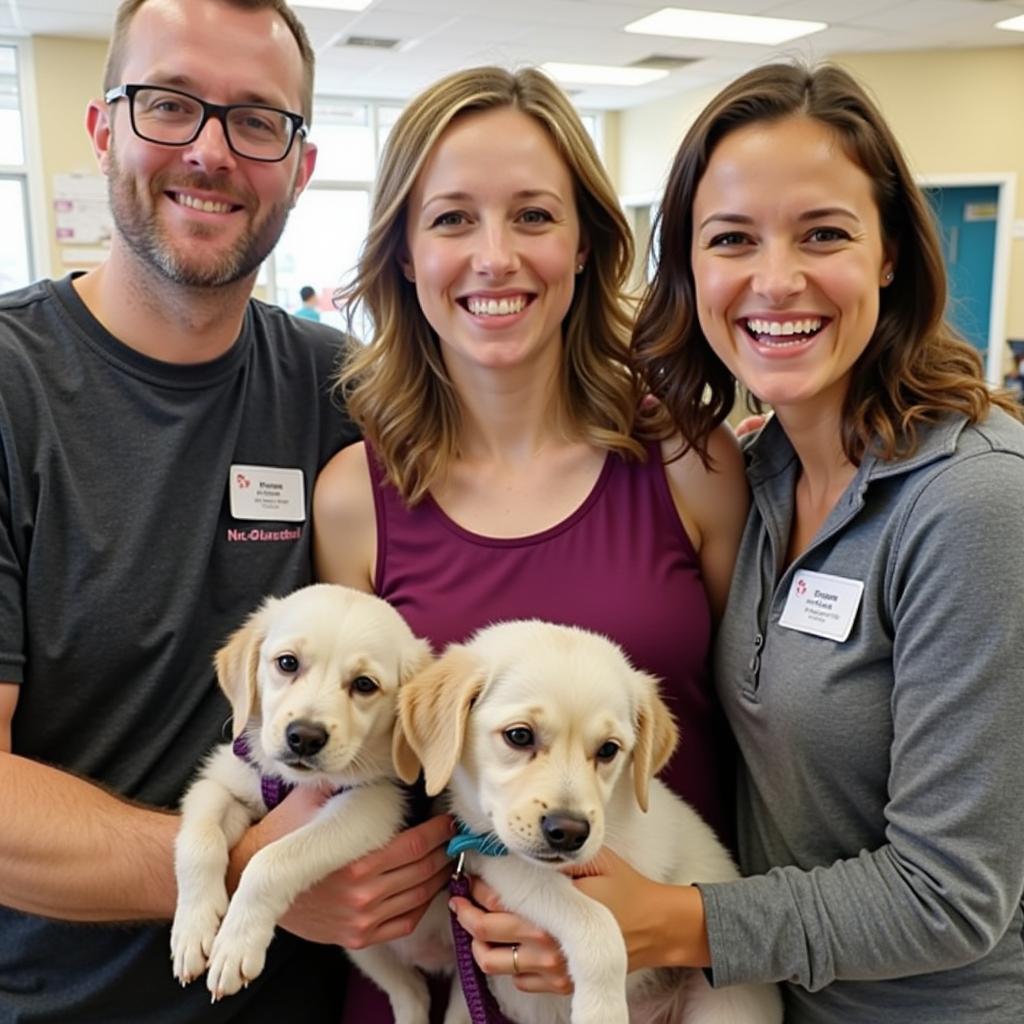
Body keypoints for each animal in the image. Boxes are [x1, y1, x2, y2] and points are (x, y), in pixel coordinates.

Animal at [168, 581, 440, 1019]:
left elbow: (272, 860)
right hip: (363, 949)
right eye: (287, 663)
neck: (294, 782)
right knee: (412, 991)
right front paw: (193, 928)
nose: (305, 737)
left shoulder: (371, 809)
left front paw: (236, 944)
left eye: (364, 685)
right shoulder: (222, 780)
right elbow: (198, 842)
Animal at [395, 618, 778, 1024]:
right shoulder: (499, 861)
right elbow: (592, 919)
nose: (569, 833)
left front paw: (600, 1010)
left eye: (609, 749)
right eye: (519, 735)